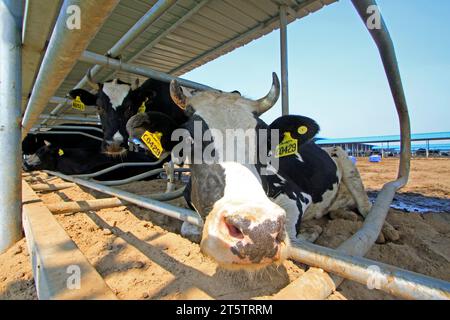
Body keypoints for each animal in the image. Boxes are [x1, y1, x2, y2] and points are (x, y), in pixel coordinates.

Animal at [124, 73, 398, 270]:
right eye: (188, 140)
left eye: (266, 141)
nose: (259, 232)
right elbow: (188, 229)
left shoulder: (295, 196)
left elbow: (292, 235)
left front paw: (308, 233)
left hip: (347, 161)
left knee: (366, 207)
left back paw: (385, 229)